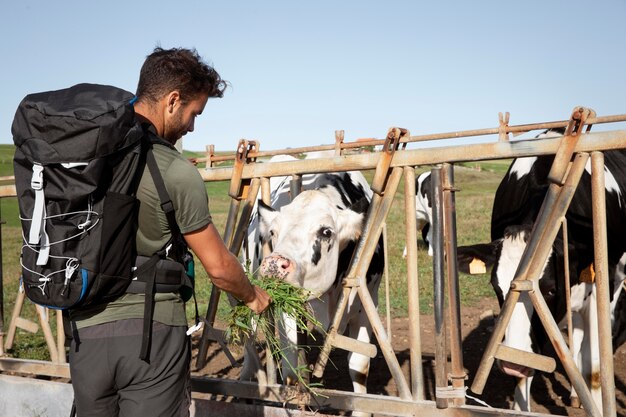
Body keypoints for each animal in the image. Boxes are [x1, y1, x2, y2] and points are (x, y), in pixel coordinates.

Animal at [240, 153, 382, 404]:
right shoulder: (286, 307)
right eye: (273, 232)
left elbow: (359, 366)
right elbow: (290, 367)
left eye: (326, 232)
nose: (274, 264)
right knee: (251, 332)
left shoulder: (367, 302)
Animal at [456, 129, 626, 410]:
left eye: (550, 290)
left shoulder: (601, 295)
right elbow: (525, 375)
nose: (511, 364)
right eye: (498, 289)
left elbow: (594, 368)